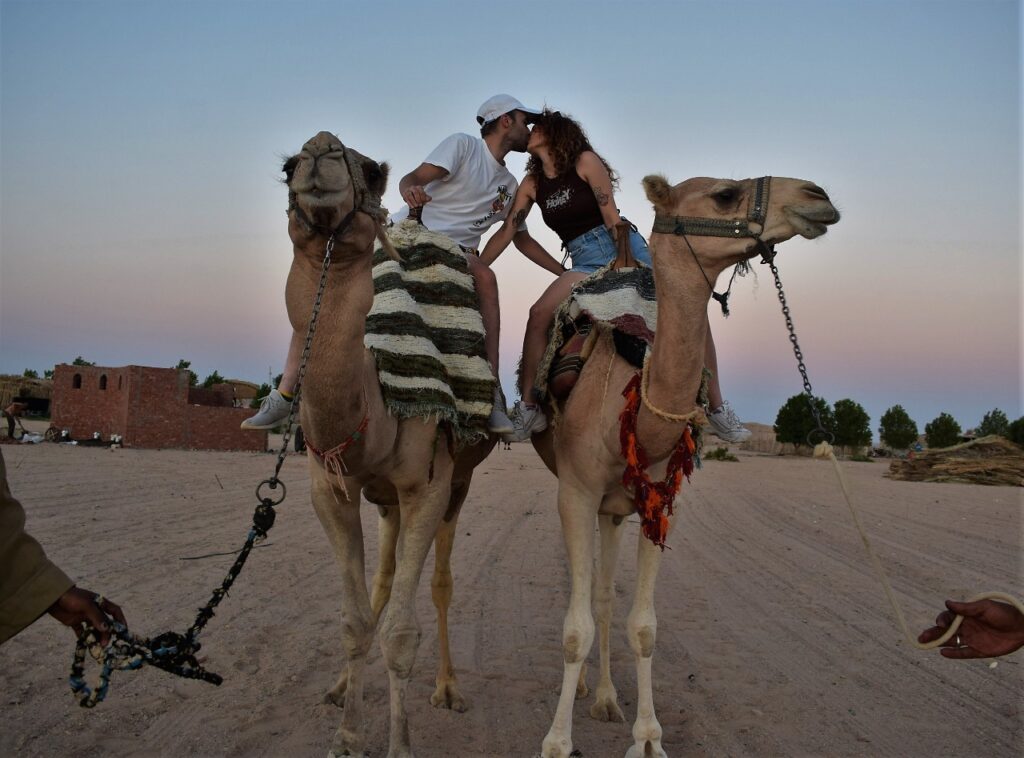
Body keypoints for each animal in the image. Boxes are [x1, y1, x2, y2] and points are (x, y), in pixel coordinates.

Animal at [284, 133, 495, 753]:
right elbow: (356, 620)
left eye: (375, 170)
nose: (320, 150)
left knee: (441, 583)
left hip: (457, 482)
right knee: (382, 579)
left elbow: (402, 632)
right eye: (287, 166)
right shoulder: (330, 491)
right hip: (385, 503)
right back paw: (337, 688)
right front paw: (347, 733)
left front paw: (399, 743)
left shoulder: (427, 488)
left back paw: (448, 689)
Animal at [528, 173, 839, 758]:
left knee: (604, 597)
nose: (817, 197)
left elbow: (642, 625)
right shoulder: (575, 493)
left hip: (614, 508)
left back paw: (604, 697)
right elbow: (574, 630)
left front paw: (648, 737)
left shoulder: (658, 500)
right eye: (725, 194)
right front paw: (556, 742)